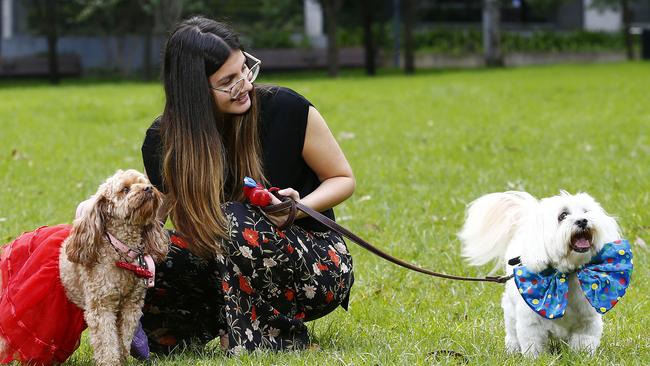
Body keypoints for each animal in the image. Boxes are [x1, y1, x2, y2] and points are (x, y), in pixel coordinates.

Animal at [0, 169, 170, 366]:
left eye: (145, 182)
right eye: (125, 189)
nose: (149, 188)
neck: (121, 250)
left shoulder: (131, 307)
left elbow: (124, 339)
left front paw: (121, 359)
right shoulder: (101, 306)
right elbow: (107, 340)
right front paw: (110, 362)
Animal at [458, 192, 624, 358]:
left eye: (586, 212)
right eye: (563, 215)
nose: (582, 221)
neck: (565, 276)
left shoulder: (587, 321)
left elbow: (583, 343)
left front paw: (582, 357)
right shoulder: (531, 324)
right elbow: (533, 346)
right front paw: (535, 359)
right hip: (510, 309)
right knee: (511, 331)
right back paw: (512, 349)